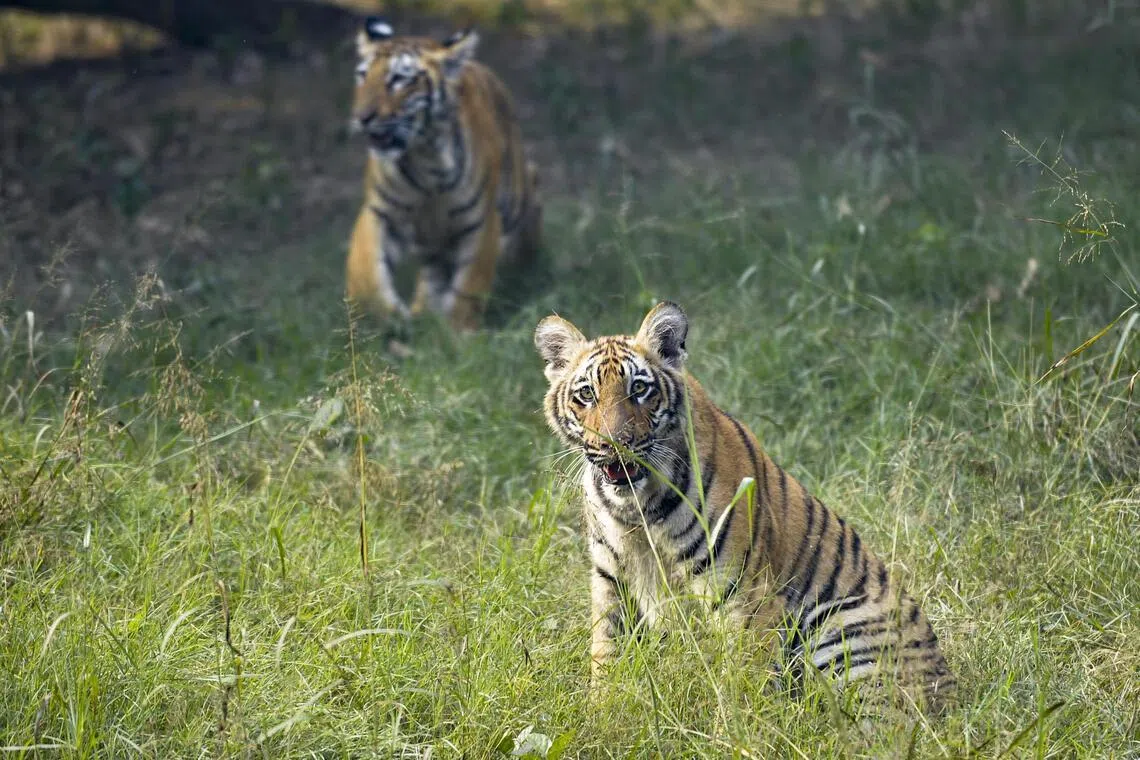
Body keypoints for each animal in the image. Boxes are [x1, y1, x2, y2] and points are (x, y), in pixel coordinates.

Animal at [345, 17, 542, 332]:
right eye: (362, 75)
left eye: (398, 79)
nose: (362, 117)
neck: (426, 158)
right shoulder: (379, 212)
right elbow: (367, 277)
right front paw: (390, 320)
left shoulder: (482, 222)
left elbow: (468, 287)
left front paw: (457, 334)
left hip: (519, 197)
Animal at [534, 301, 956, 713]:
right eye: (586, 394)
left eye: (638, 389)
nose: (612, 444)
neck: (636, 509)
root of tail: (951, 690)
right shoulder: (611, 581)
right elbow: (606, 659)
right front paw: (600, 715)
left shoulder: (745, 595)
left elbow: (741, 686)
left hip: (840, 624)